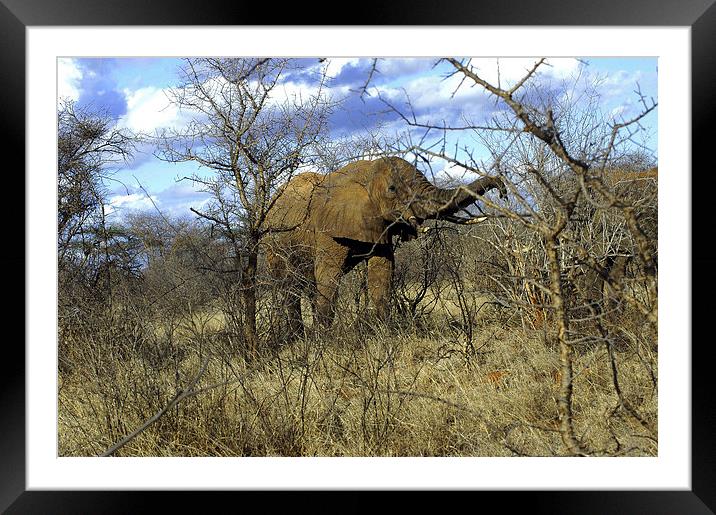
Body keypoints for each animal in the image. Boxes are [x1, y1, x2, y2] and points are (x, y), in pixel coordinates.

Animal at [262, 156, 504, 334]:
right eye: (392, 189)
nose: (502, 187)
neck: (365, 172)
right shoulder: (327, 230)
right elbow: (329, 276)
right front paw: (324, 342)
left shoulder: (379, 224)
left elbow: (382, 272)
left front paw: (386, 334)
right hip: (273, 245)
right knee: (289, 287)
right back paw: (297, 337)